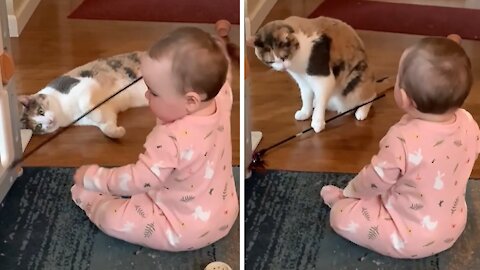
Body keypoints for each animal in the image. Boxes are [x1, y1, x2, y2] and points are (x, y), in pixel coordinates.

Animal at [17, 51, 147, 138]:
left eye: (41, 111)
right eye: (38, 126)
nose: (49, 122)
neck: (65, 114)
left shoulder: (85, 84)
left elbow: (85, 104)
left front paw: (97, 115)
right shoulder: (108, 111)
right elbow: (106, 128)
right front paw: (119, 131)